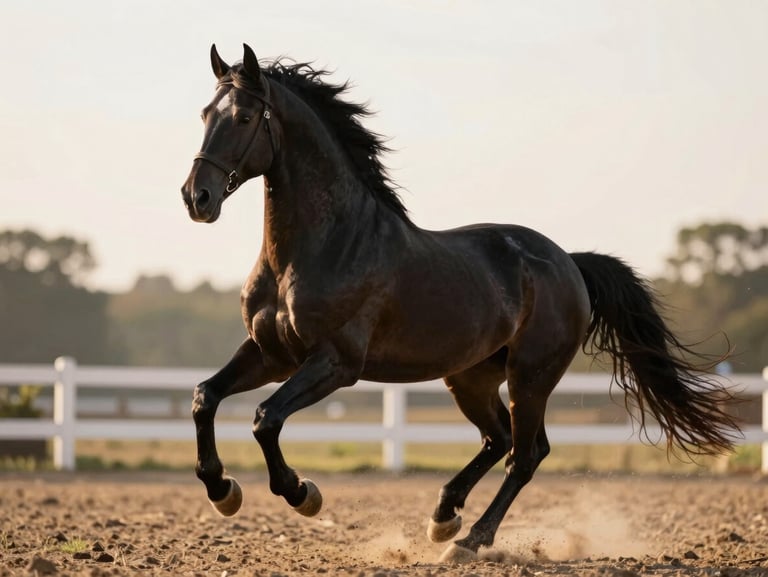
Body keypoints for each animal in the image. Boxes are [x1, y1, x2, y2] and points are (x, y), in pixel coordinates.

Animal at [180, 44, 740, 562]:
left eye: (245, 117)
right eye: (206, 114)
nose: (196, 198)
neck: (318, 248)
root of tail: (569, 263)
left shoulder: (335, 364)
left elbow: (265, 418)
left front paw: (302, 493)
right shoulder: (270, 354)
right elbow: (205, 397)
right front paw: (222, 491)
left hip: (531, 375)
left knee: (527, 454)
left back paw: (469, 541)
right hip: (470, 377)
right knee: (500, 440)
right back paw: (443, 517)